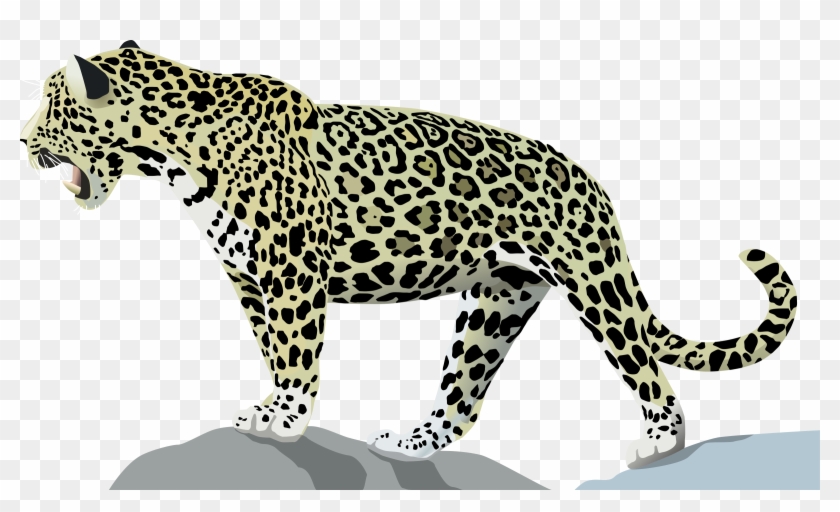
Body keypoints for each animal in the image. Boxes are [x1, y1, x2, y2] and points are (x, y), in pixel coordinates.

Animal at [20, 41, 798, 469]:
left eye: (52, 105)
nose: (22, 142)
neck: (173, 153)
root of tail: (590, 180)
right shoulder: (246, 275)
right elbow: (271, 350)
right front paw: (269, 409)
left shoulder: (290, 272)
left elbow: (296, 352)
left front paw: (285, 418)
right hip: (497, 301)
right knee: (464, 394)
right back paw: (411, 441)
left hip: (592, 283)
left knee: (648, 372)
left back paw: (658, 443)